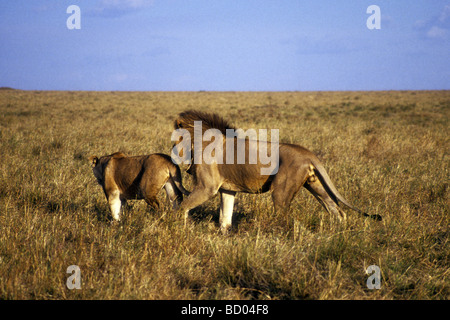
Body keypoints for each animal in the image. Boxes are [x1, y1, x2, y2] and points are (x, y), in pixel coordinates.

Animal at [174, 110, 382, 232]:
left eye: (175, 139)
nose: (174, 151)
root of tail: (308, 153)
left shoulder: (206, 188)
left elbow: (182, 207)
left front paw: (178, 229)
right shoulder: (227, 189)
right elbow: (225, 218)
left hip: (281, 193)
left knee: (287, 220)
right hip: (316, 185)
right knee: (337, 211)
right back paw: (338, 236)